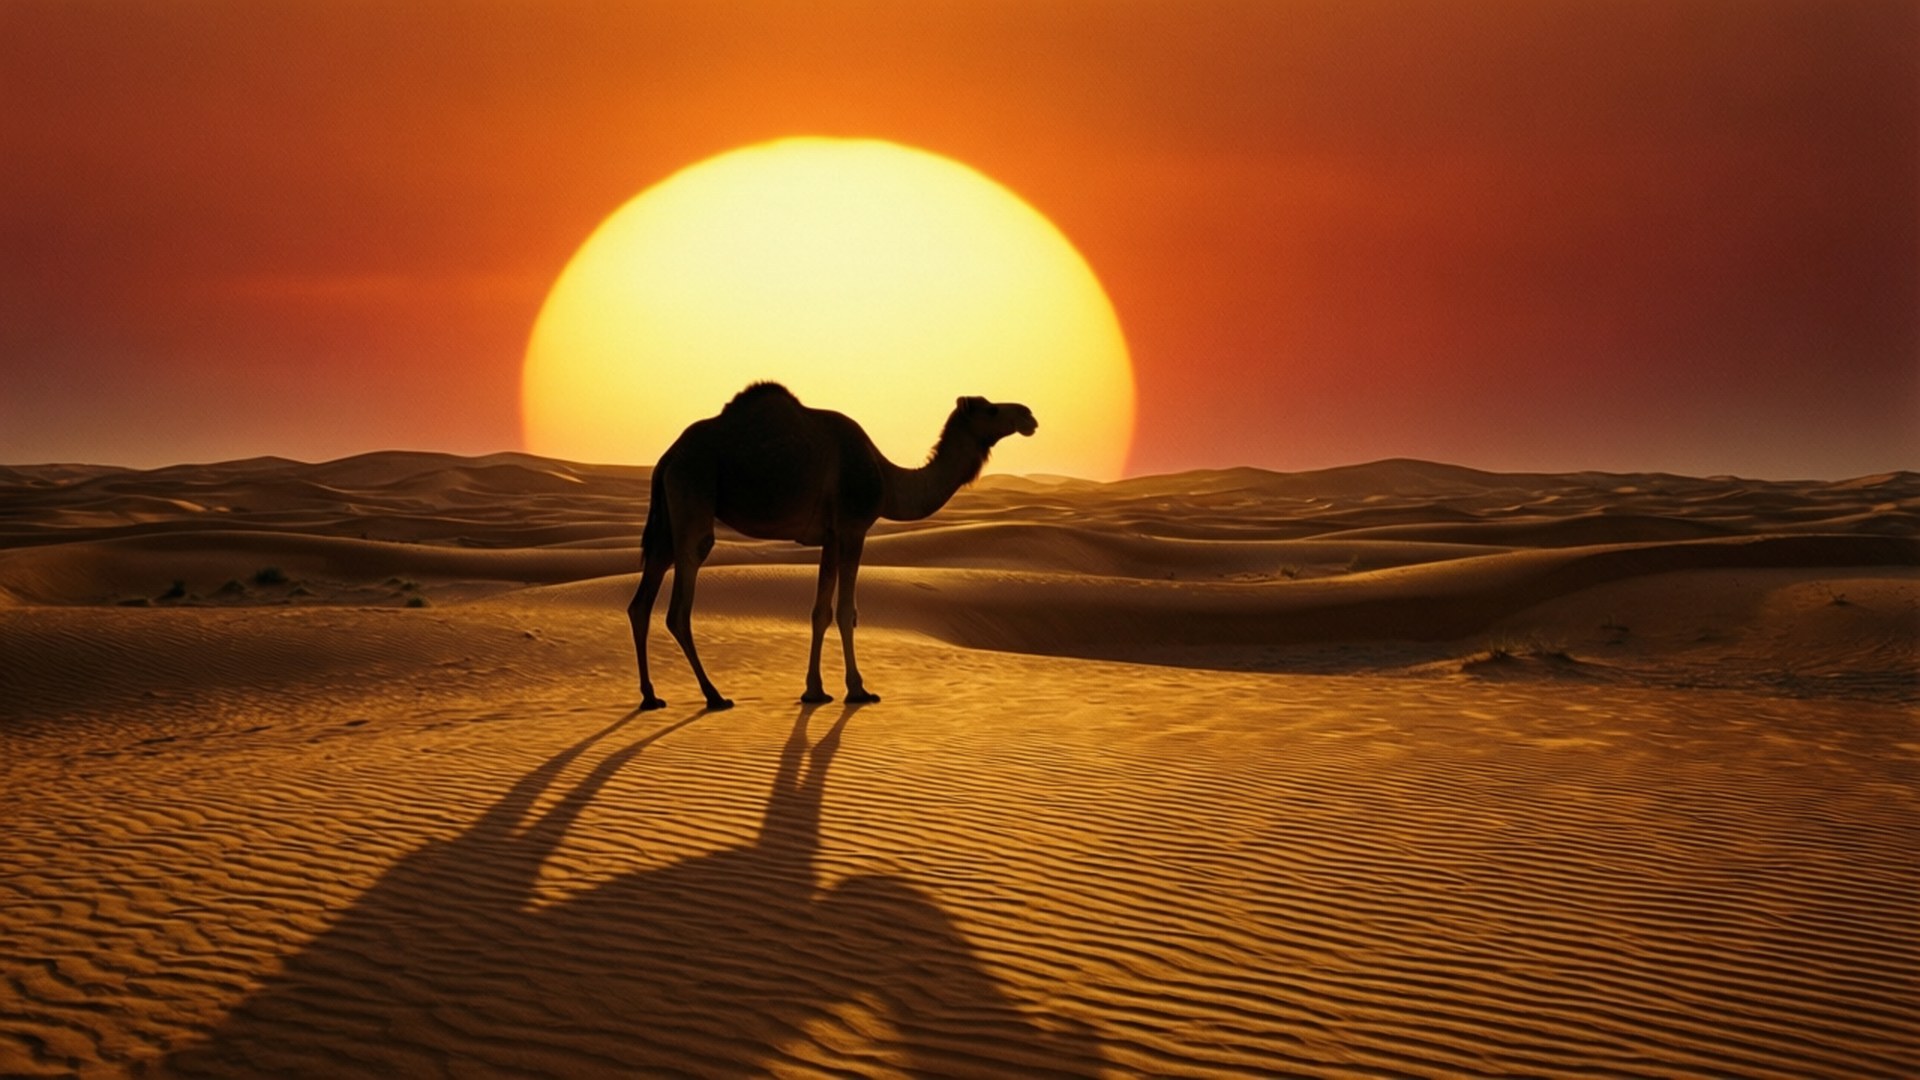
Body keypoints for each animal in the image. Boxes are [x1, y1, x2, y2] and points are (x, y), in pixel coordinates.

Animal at [630, 382, 1037, 710]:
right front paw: (858, 690)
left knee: (641, 602)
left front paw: (814, 691)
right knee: (679, 606)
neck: (887, 479)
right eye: (992, 409)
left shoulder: (830, 538)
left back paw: (651, 696)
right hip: (693, 491)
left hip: (668, 517)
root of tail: (668, 457)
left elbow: (819, 612)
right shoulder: (854, 528)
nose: (1029, 415)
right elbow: (846, 611)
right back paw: (714, 695)